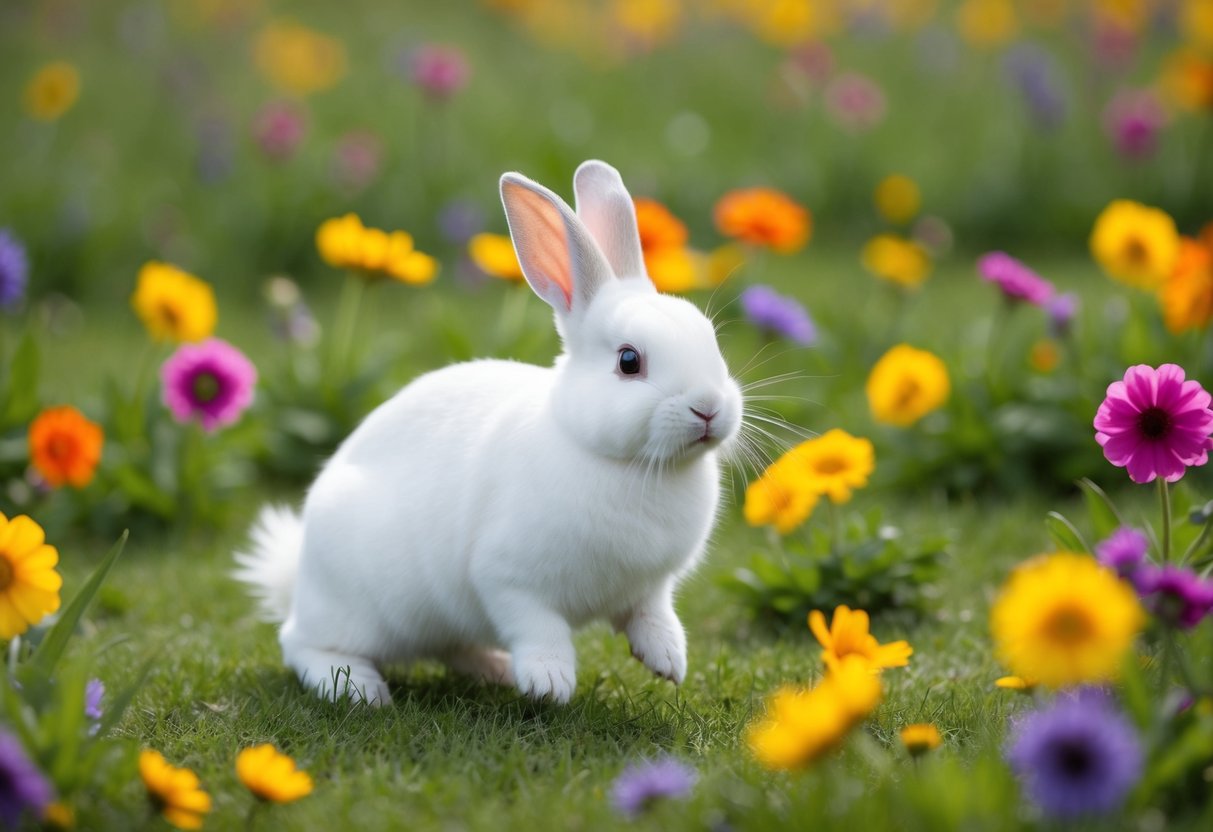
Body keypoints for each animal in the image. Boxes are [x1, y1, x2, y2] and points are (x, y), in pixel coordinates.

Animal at [235, 160, 743, 705]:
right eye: (629, 361)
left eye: (711, 340)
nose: (709, 408)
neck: (623, 462)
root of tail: (300, 577)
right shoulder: (508, 580)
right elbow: (539, 629)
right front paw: (549, 684)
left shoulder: (650, 586)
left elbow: (652, 614)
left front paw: (669, 661)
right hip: (359, 609)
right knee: (301, 644)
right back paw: (360, 691)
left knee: (449, 646)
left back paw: (492, 668)